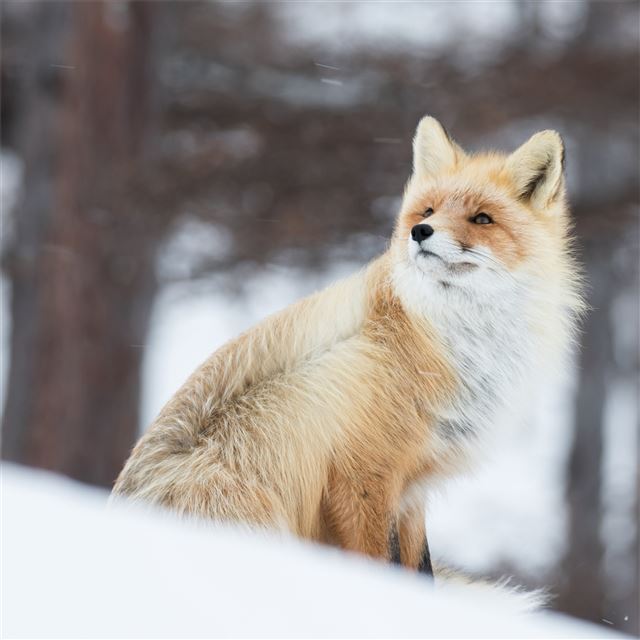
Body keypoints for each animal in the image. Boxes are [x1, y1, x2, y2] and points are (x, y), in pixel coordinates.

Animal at [112, 116, 583, 577]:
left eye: (482, 219)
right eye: (429, 210)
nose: (420, 231)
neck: (440, 341)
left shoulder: (412, 488)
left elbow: (421, 569)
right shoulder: (361, 477)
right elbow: (381, 563)